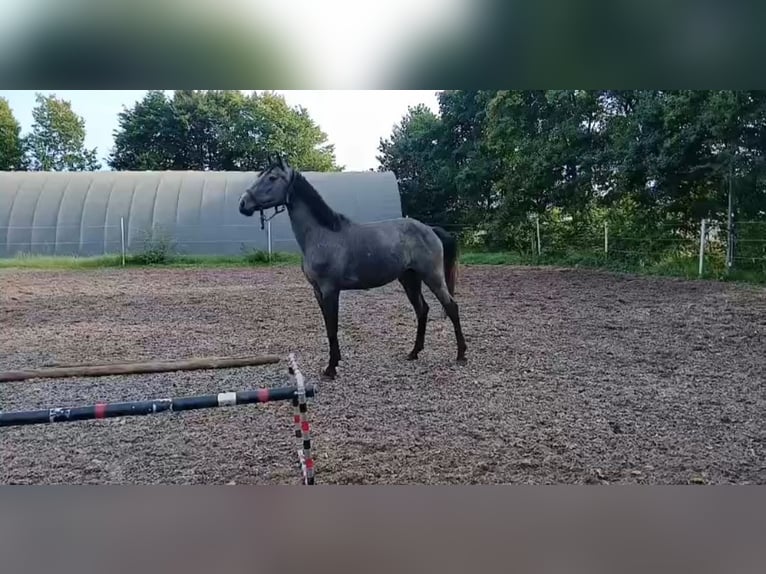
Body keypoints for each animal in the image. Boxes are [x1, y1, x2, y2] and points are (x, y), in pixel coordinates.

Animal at [238, 155, 467, 380]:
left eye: (272, 178)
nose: (243, 204)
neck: (322, 234)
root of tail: (431, 229)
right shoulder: (318, 292)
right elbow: (329, 327)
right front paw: (334, 363)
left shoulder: (330, 290)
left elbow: (333, 328)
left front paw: (331, 369)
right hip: (410, 279)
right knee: (422, 310)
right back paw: (414, 352)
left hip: (432, 277)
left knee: (451, 307)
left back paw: (461, 355)